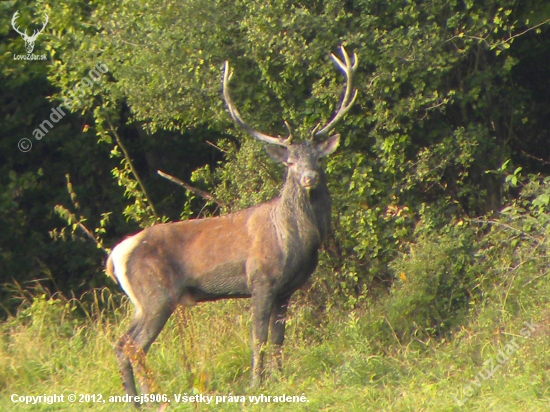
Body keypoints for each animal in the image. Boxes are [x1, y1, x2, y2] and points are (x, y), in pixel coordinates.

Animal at [106, 45, 360, 406]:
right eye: (290, 162)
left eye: (319, 158)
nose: (309, 177)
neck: (294, 240)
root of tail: (115, 255)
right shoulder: (260, 279)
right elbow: (258, 336)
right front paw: (257, 383)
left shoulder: (287, 289)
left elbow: (279, 337)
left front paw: (280, 378)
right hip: (156, 295)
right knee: (134, 345)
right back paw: (156, 399)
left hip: (141, 301)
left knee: (120, 343)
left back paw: (135, 401)